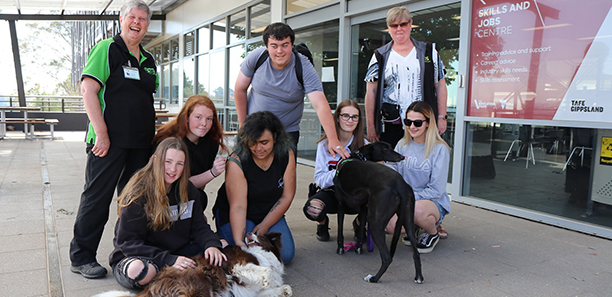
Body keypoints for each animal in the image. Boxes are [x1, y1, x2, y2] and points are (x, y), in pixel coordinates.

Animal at [332, 141, 424, 282]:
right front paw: (358, 248)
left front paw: (340, 249)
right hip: (408, 221)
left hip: (375, 223)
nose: (402, 157)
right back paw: (418, 277)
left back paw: (374, 278)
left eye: (389, 147)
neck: (358, 156)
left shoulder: (341, 205)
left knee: (387, 257)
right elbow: (360, 232)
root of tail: (400, 185)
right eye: (386, 148)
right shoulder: (364, 208)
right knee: (416, 253)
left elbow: (340, 231)